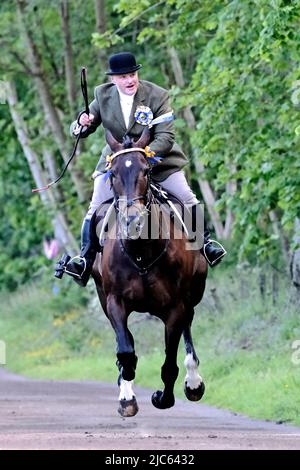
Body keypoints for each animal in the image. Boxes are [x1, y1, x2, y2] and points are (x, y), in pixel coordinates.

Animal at [92, 129, 207, 418]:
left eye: (146, 170)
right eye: (113, 174)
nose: (132, 221)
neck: (140, 250)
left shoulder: (175, 307)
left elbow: (169, 364)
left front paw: (163, 397)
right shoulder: (115, 301)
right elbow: (125, 350)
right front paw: (126, 397)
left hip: (191, 296)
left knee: (188, 327)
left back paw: (193, 382)